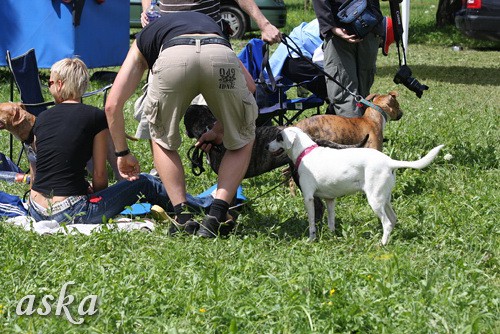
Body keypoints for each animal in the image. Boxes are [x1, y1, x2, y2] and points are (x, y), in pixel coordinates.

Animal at [268, 126, 444, 244]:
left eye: (278, 137)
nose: (266, 146)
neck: (305, 152)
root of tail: (389, 161)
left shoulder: (308, 198)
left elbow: (311, 223)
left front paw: (311, 239)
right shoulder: (330, 200)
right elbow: (331, 221)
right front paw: (332, 237)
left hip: (374, 200)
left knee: (387, 223)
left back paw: (382, 244)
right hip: (384, 198)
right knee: (393, 219)